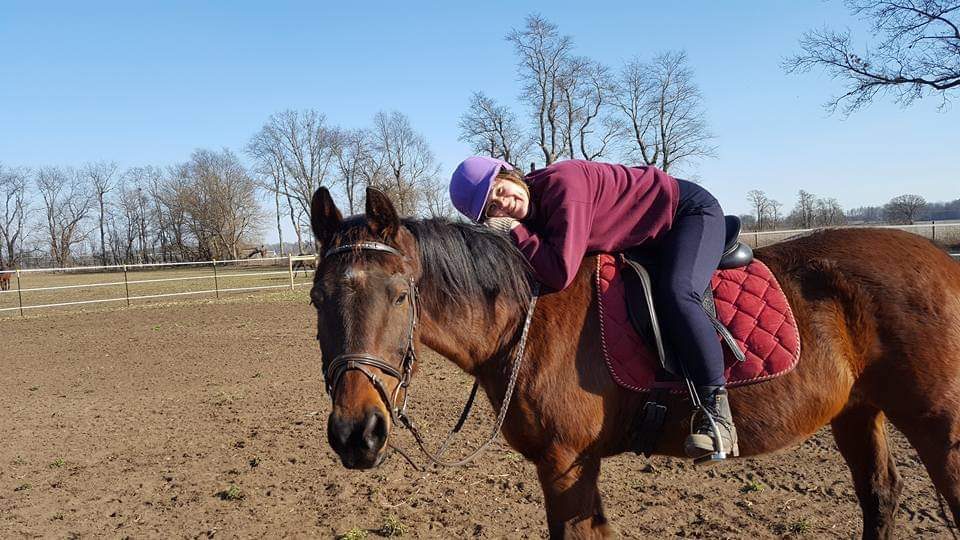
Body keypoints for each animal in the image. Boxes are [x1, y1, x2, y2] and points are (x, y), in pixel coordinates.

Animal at [309, 187, 960, 539]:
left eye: (400, 294)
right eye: (317, 297)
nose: (356, 433)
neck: (527, 313)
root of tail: (943, 262)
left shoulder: (567, 465)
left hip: (940, 427)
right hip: (858, 411)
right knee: (880, 497)